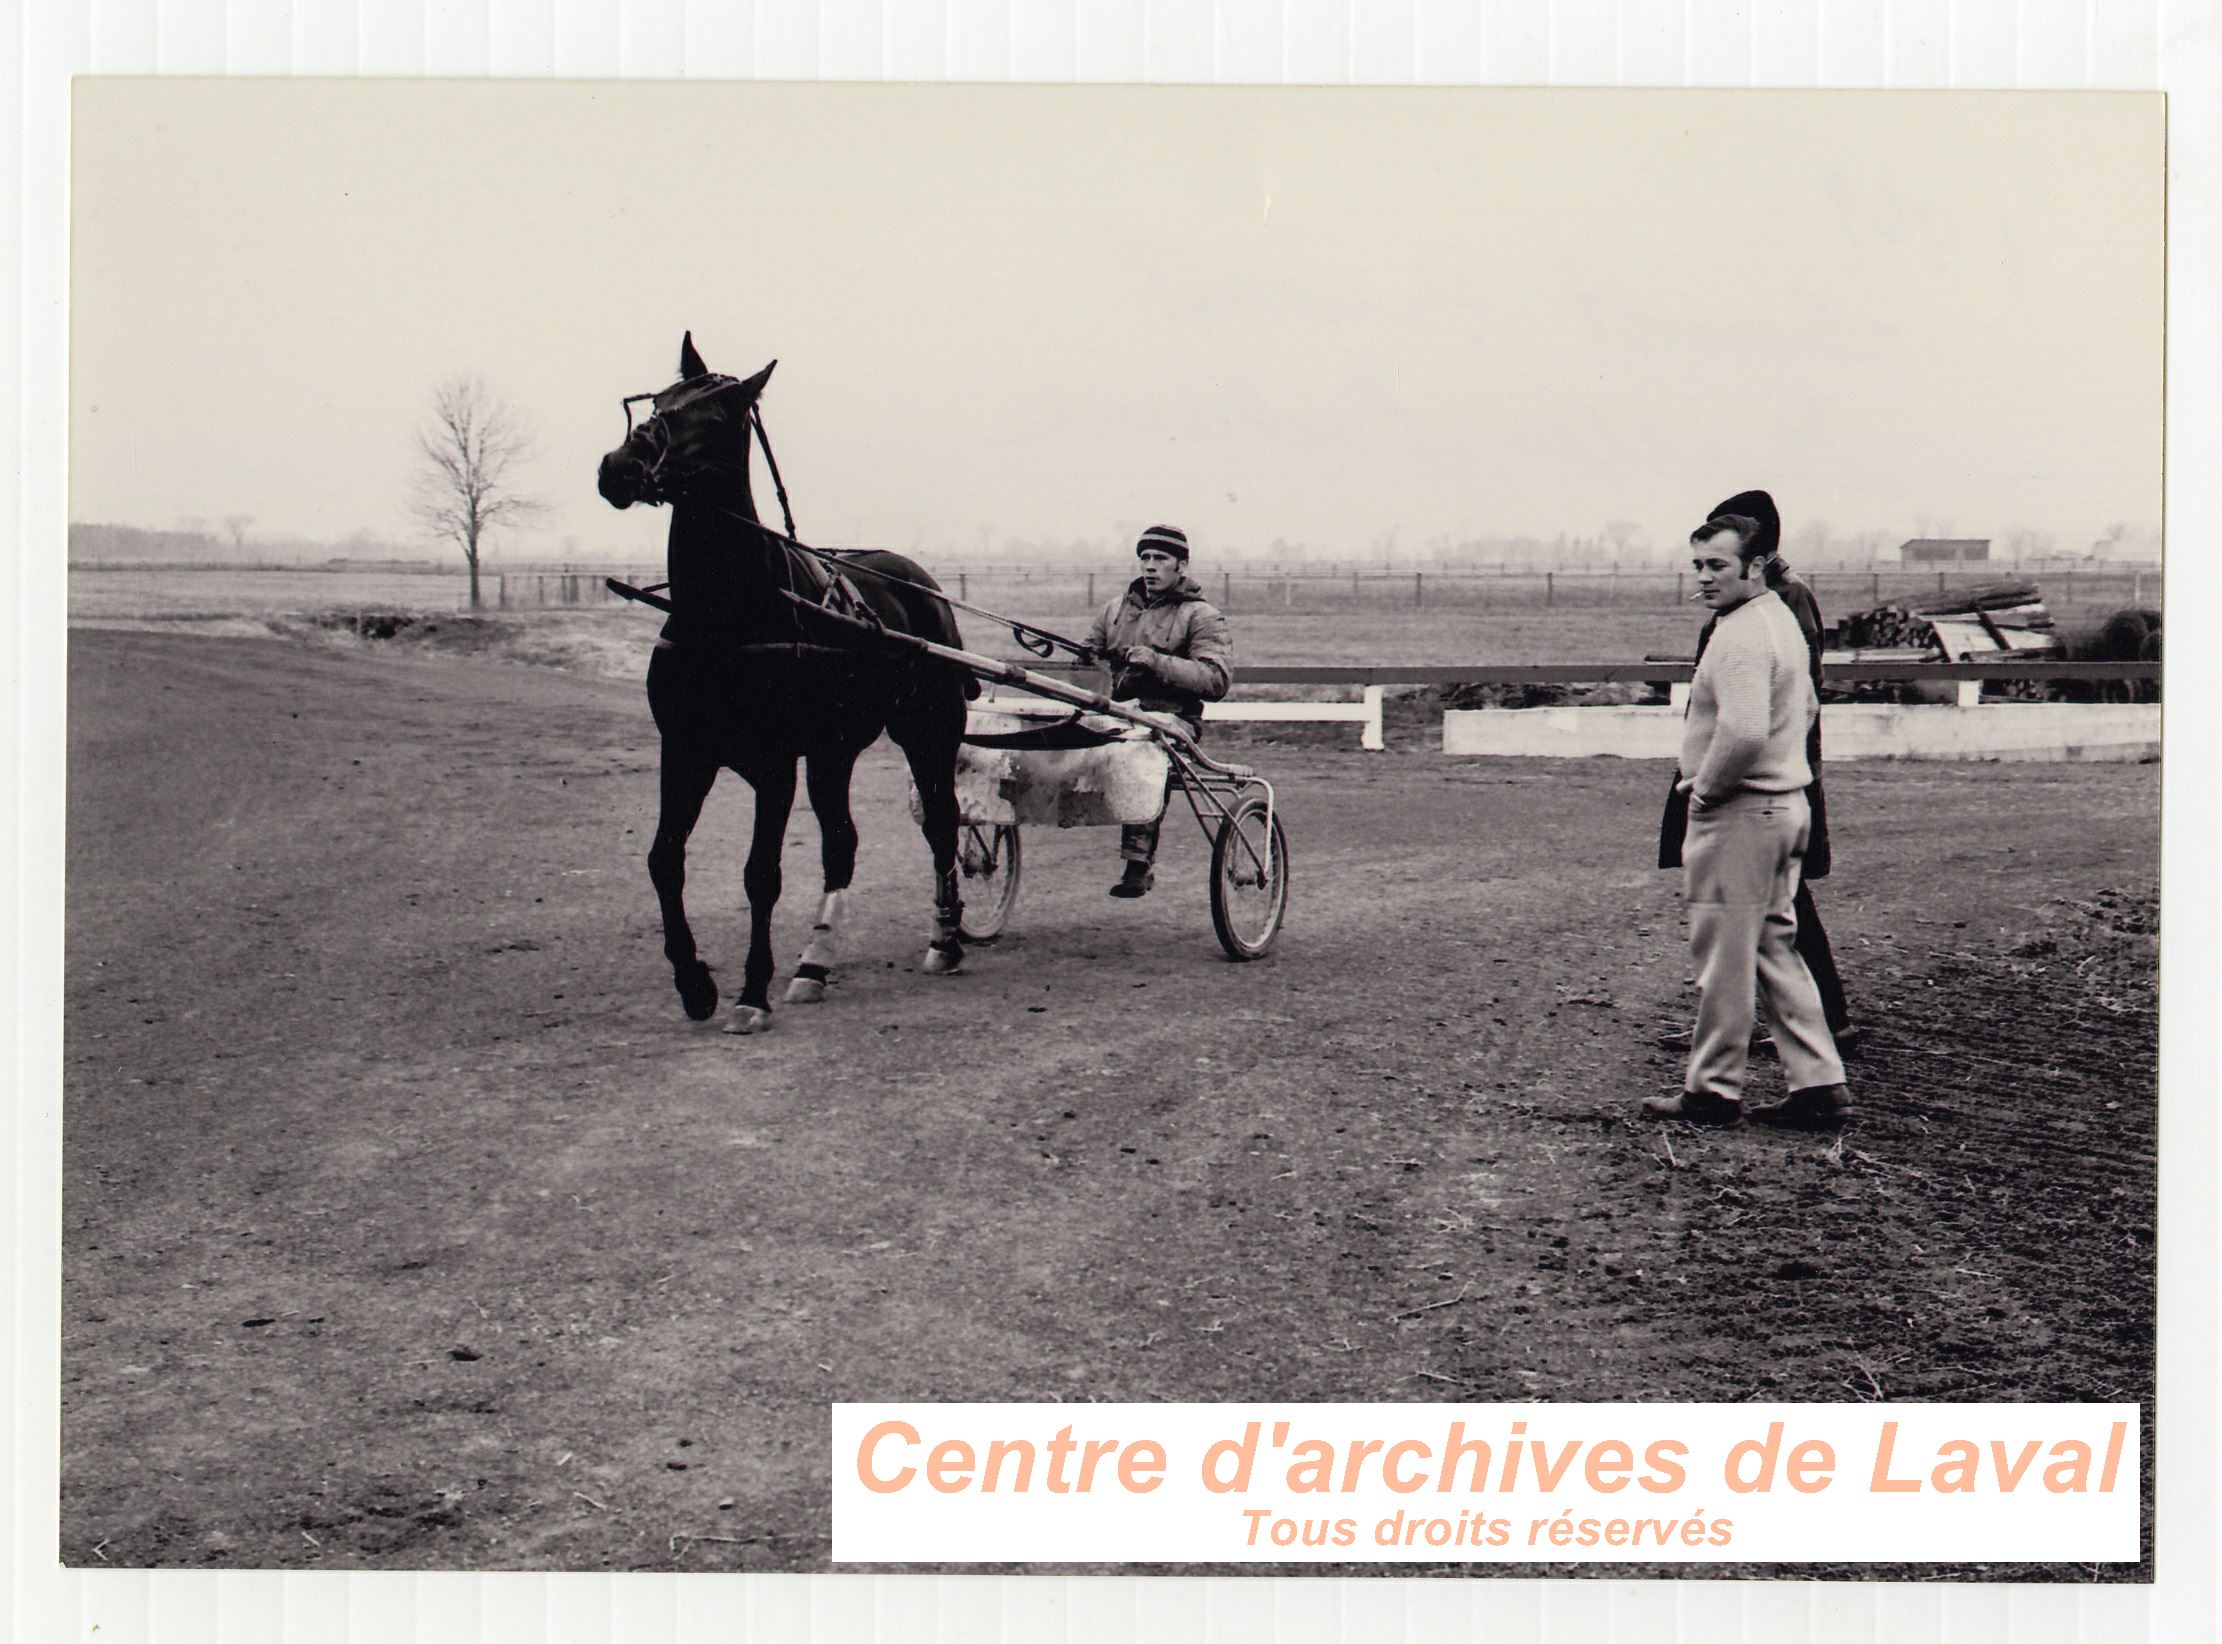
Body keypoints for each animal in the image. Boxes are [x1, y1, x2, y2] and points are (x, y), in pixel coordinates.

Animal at [599, 333, 973, 1026]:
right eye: (661, 403)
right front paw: (695, 982)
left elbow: (760, 874)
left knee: (941, 822)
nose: (618, 468)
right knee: (841, 842)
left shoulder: (774, 764)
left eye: (716, 418)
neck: (725, 615)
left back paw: (944, 940)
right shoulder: (685, 750)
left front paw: (751, 993)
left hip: (927, 732)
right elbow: (664, 860)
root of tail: (921, 583)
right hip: (833, 751)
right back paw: (814, 964)